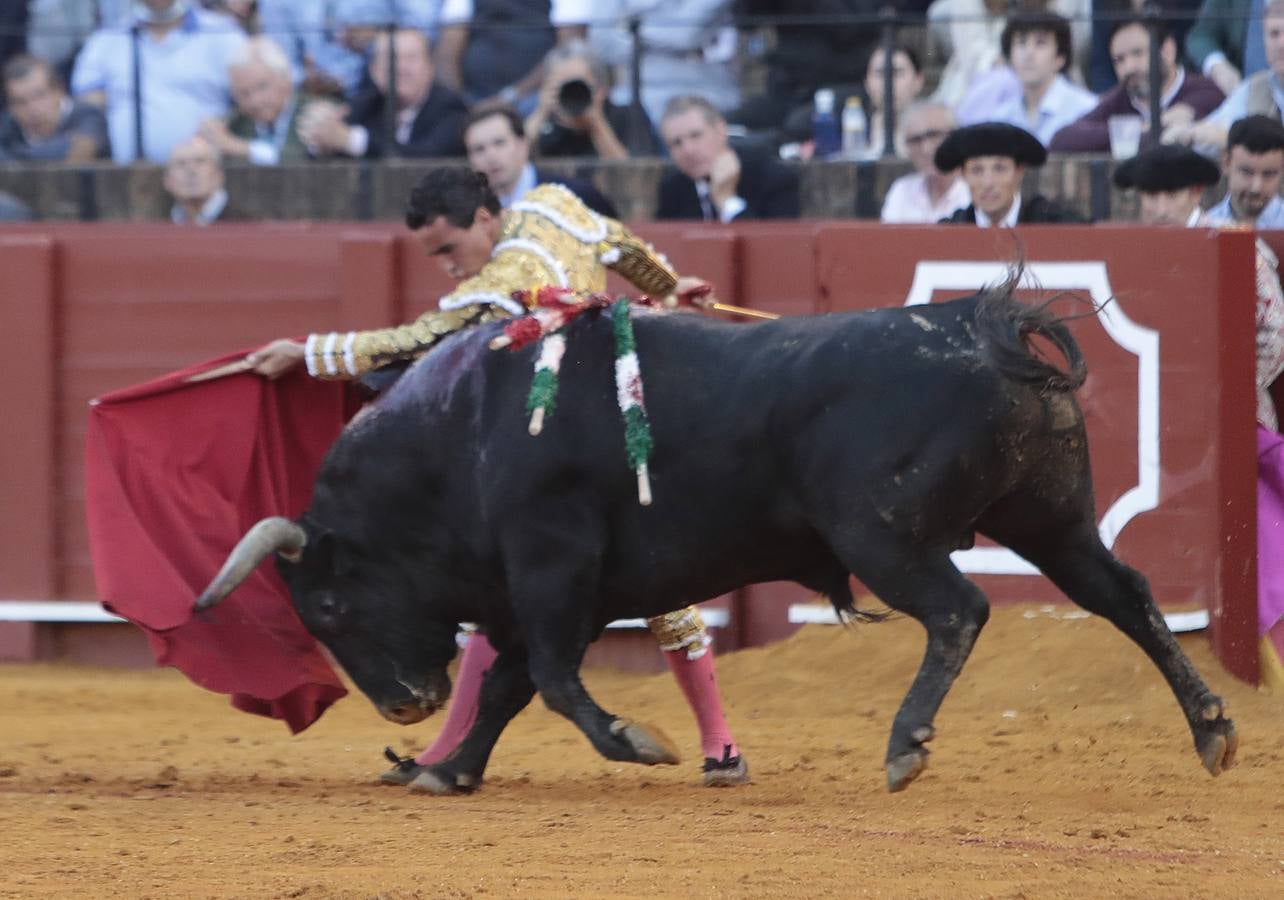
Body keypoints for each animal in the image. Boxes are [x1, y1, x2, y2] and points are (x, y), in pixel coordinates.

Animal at [195, 282, 1237, 790]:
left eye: (330, 603)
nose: (404, 707)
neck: (462, 435)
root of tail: (986, 327)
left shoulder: (553, 571)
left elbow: (556, 683)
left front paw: (635, 742)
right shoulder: (550, 590)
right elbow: (507, 686)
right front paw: (448, 773)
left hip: (883, 536)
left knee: (960, 609)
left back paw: (905, 745)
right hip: (1049, 518)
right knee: (1126, 596)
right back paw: (1214, 730)